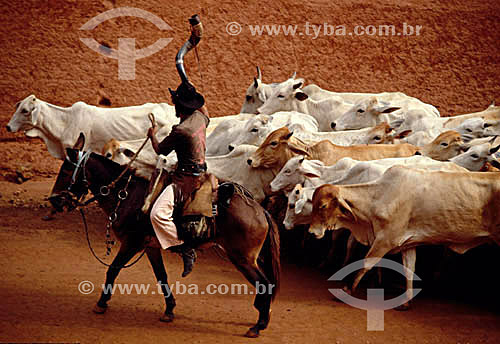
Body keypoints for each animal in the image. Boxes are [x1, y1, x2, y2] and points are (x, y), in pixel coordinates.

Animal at [49, 134, 282, 336]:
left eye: (66, 171)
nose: (55, 201)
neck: (127, 196)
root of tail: (261, 211)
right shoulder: (150, 247)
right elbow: (161, 277)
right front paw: (169, 309)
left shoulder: (131, 243)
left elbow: (113, 270)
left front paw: (101, 303)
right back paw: (262, 317)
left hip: (242, 258)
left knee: (265, 284)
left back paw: (258, 325)